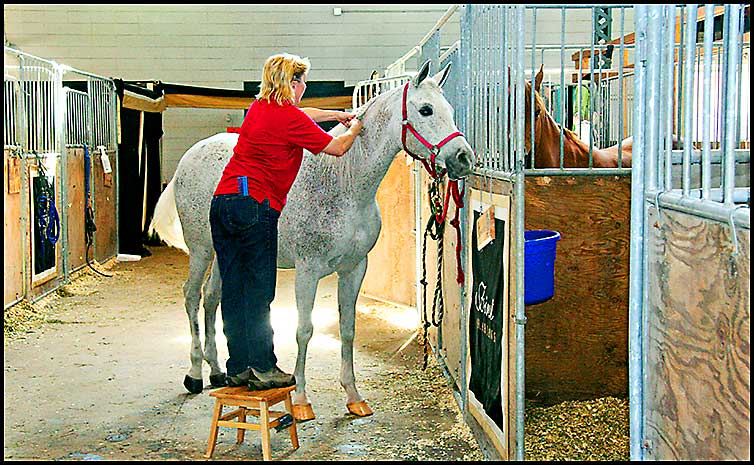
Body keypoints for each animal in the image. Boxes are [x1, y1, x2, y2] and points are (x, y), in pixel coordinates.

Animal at [149, 59, 472, 418]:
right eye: (426, 110)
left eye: (449, 109)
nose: (463, 158)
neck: (342, 182)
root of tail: (189, 158)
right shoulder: (308, 271)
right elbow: (304, 331)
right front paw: (301, 400)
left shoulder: (354, 269)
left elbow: (347, 329)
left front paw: (354, 396)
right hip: (202, 250)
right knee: (192, 296)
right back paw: (194, 373)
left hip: (224, 254)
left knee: (211, 298)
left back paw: (219, 371)